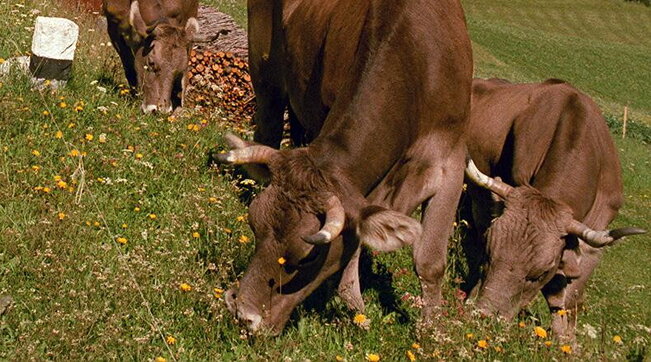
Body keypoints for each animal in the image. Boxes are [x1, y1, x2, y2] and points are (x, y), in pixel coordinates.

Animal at [216, 0, 472, 334]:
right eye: (253, 226)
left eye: (306, 258)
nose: (244, 314)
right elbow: (357, 238)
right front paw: (354, 302)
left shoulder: (452, 161)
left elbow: (429, 262)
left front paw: (431, 330)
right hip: (264, 68)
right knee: (268, 121)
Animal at [466, 78, 644, 340]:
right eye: (490, 252)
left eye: (540, 273)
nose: (484, 316)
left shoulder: (595, 236)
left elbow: (570, 294)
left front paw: (565, 338)